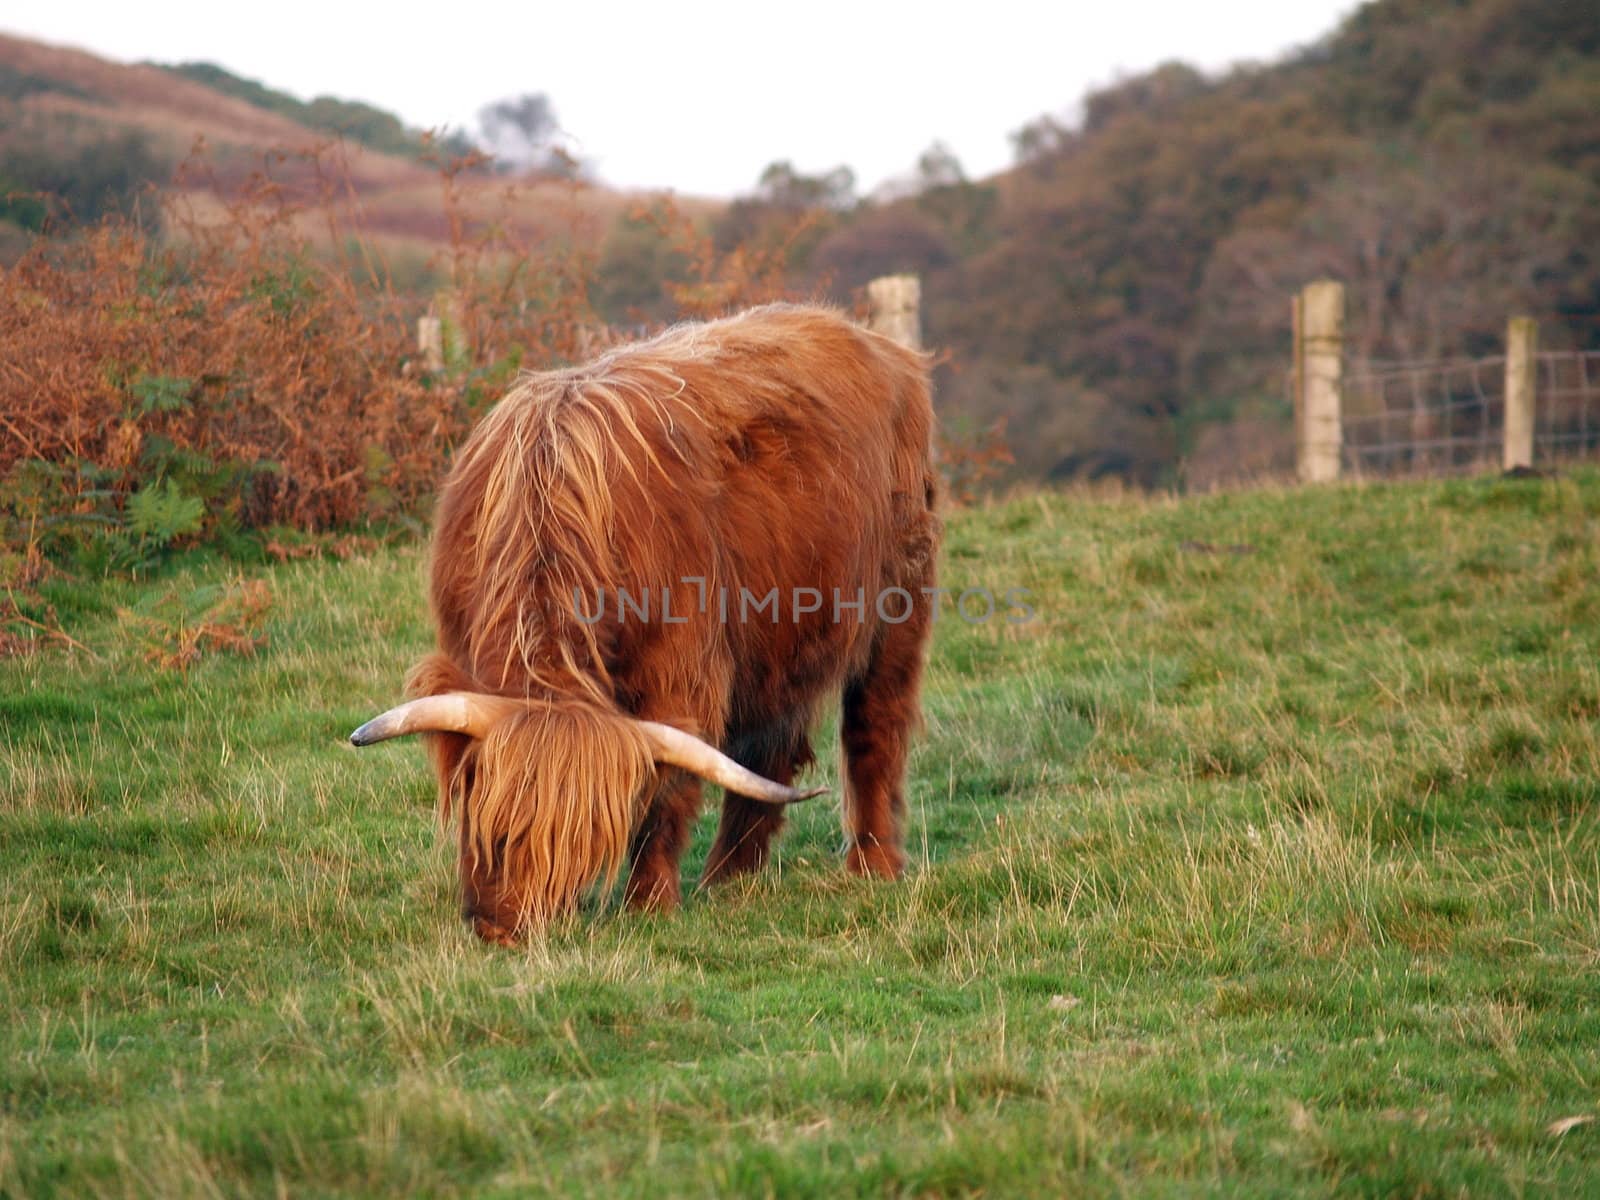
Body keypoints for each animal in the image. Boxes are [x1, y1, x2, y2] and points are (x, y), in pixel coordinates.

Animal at [350, 305, 934, 947]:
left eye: (577, 847)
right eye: (493, 831)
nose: (506, 929)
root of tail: (873, 341)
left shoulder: (680, 675)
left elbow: (669, 786)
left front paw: (649, 901)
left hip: (898, 607)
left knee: (874, 726)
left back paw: (873, 865)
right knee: (770, 749)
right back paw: (727, 880)